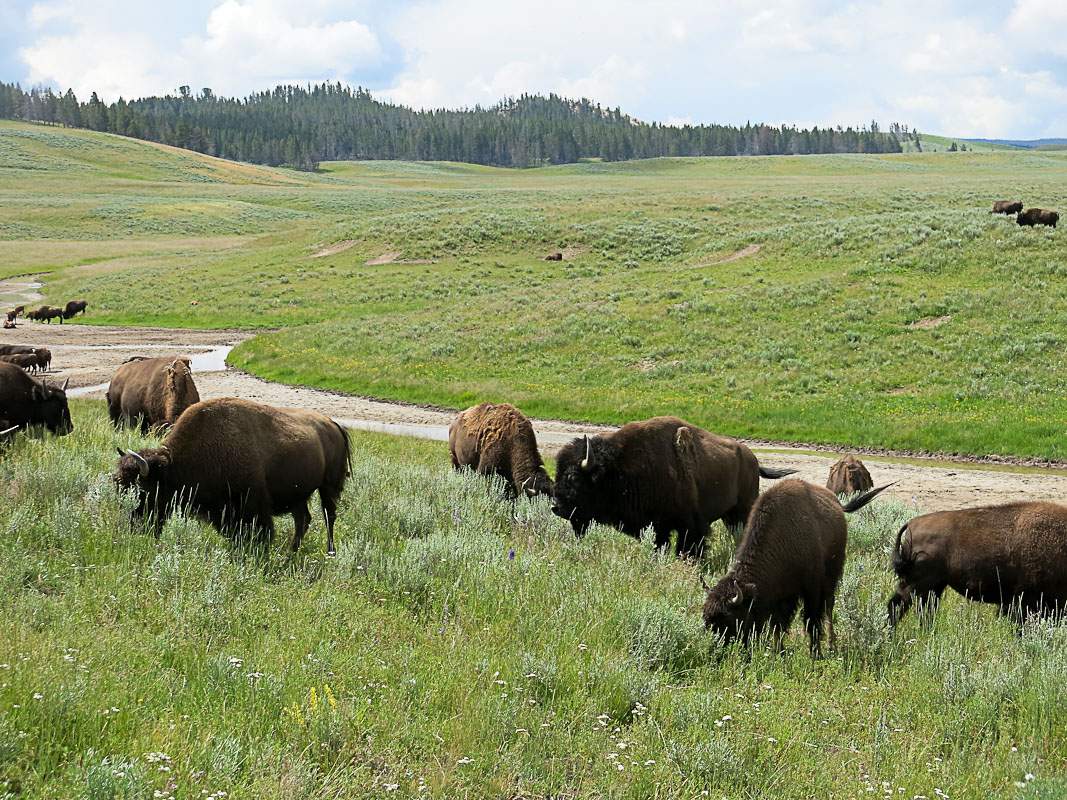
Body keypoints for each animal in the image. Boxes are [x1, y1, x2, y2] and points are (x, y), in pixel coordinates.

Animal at [115, 398, 352, 554]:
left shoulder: (253, 502)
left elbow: (262, 529)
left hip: (329, 486)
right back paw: (290, 553)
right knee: (303, 519)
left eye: (144, 491)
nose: (135, 529)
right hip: (298, 494)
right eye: (118, 486)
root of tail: (333, 425)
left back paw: (329, 552)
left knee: (329, 516)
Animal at [554, 416, 798, 558]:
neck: (620, 467)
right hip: (729, 515)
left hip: (743, 509)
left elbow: (688, 547)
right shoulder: (656, 526)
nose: (556, 507)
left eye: (574, 477)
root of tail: (753, 460)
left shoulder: (690, 525)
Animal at [699, 480, 892, 652]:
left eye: (728, 619)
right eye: (707, 620)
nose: (718, 652)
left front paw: (815, 653)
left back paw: (831, 645)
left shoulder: (811, 589)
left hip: (832, 576)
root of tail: (836, 502)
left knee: (829, 607)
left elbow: (811, 620)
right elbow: (778, 625)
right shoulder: (781, 596)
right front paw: (778, 651)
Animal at [887, 503, 1067, 631]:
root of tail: (912, 523)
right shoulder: (1027, 600)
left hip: (935, 585)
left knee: (925, 610)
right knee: (897, 604)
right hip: (918, 583)